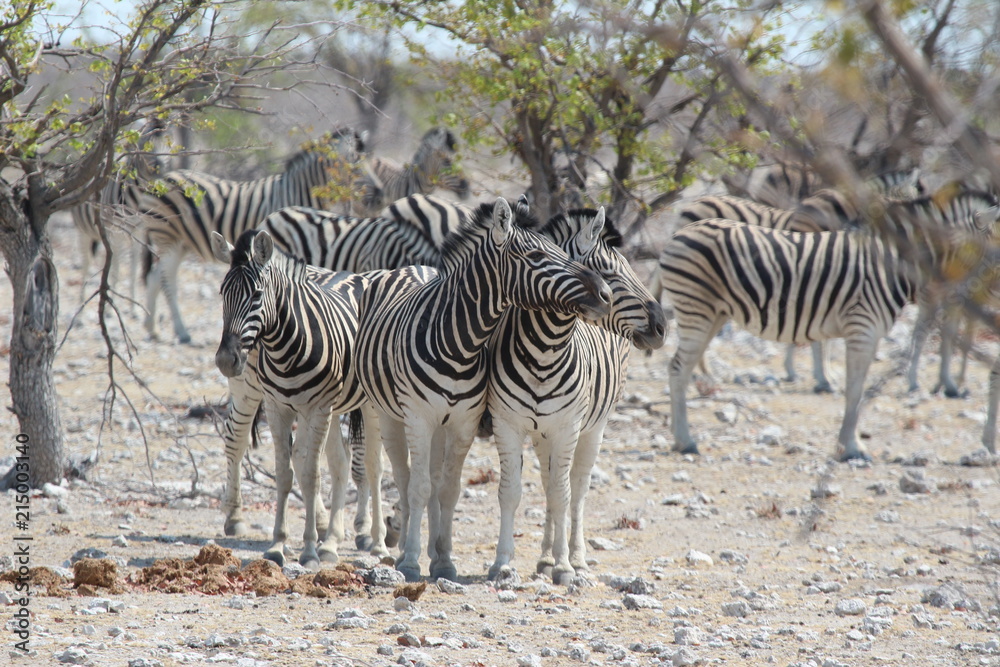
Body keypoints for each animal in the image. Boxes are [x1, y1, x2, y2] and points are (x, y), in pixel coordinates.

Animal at [136, 127, 367, 343]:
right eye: (355, 161)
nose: (367, 198)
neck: (296, 189)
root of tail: (161, 178)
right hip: (167, 237)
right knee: (167, 280)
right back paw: (181, 331)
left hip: (181, 242)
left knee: (156, 275)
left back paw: (152, 327)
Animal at [216, 203, 447, 544]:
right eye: (222, 293)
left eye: (257, 295)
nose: (224, 359)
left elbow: (358, 463)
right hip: (248, 385)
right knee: (237, 436)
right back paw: (235, 517)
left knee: (329, 458)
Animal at [354, 197, 613, 582]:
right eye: (537, 256)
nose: (606, 294)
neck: (456, 342)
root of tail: (415, 266)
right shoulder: (420, 418)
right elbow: (420, 488)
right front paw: (414, 561)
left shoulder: (464, 422)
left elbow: (449, 489)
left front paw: (444, 561)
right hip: (386, 413)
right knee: (401, 477)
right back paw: (400, 552)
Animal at [487, 208, 666, 584]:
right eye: (609, 273)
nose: (662, 327)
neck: (543, 352)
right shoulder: (507, 425)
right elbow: (511, 492)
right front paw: (503, 562)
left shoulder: (568, 427)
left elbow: (563, 494)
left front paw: (565, 565)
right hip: (542, 434)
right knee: (548, 483)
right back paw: (544, 557)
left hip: (594, 427)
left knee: (577, 489)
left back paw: (577, 558)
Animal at [657, 191, 996, 461]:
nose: (990, 294)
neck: (895, 262)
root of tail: (681, 229)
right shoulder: (862, 328)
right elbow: (854, 390)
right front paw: (851, 447)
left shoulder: (871, 332)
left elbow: (858, 388)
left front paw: (851, 441)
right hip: (696, 309)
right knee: (677, 369)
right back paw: (686, 441)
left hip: (713, 314)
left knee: (681, 368)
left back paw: (679, 436)